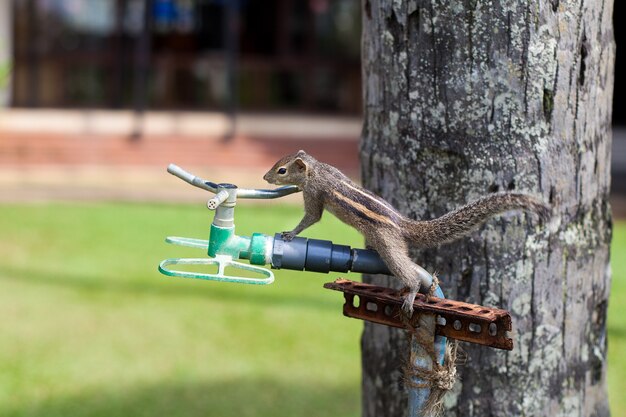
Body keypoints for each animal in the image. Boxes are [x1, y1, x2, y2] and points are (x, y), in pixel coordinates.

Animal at [260, 148, 548, 314]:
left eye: (281, 170)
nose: (265, 177)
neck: (317, 169)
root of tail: (401, 224)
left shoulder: (315, 194)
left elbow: (311, 217)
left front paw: (290, 234)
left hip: (389, 246)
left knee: (409, 273)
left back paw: (410, 294)